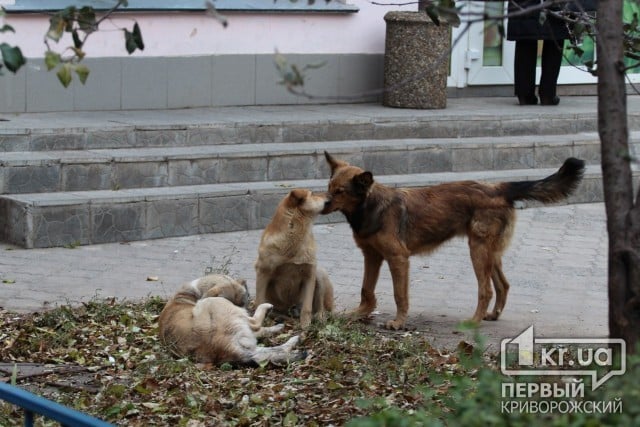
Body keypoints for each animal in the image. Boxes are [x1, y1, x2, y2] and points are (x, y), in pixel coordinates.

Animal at [158, 276, 302, 366]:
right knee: (255, 324)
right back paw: (268, 310)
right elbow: (257, 326)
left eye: (244, 303)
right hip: (213, 302)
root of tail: (223, 345)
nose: (243, 311)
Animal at [255, 189, 336, 330]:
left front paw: (305, 326)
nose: (330, 193)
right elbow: (259, 302)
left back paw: (319, 319)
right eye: (313, 193)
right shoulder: (263, 273)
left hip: (319, 274)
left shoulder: (309, 274)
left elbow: (307, 307)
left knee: (320, 308)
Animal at [322, 153, 584, 332]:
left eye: (340, 191)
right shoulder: (372, 256)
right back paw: (493, 315)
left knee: (486, 290)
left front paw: (398, 322)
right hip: (490, 253)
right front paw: (360, 313)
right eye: (329, 187)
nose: (322, 204)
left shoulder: (398, 259)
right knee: (503, 285)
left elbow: (399, 295)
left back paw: (474, 321)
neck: (370, 206)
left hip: (478, 251)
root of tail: (498, 188)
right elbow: (366, 289)